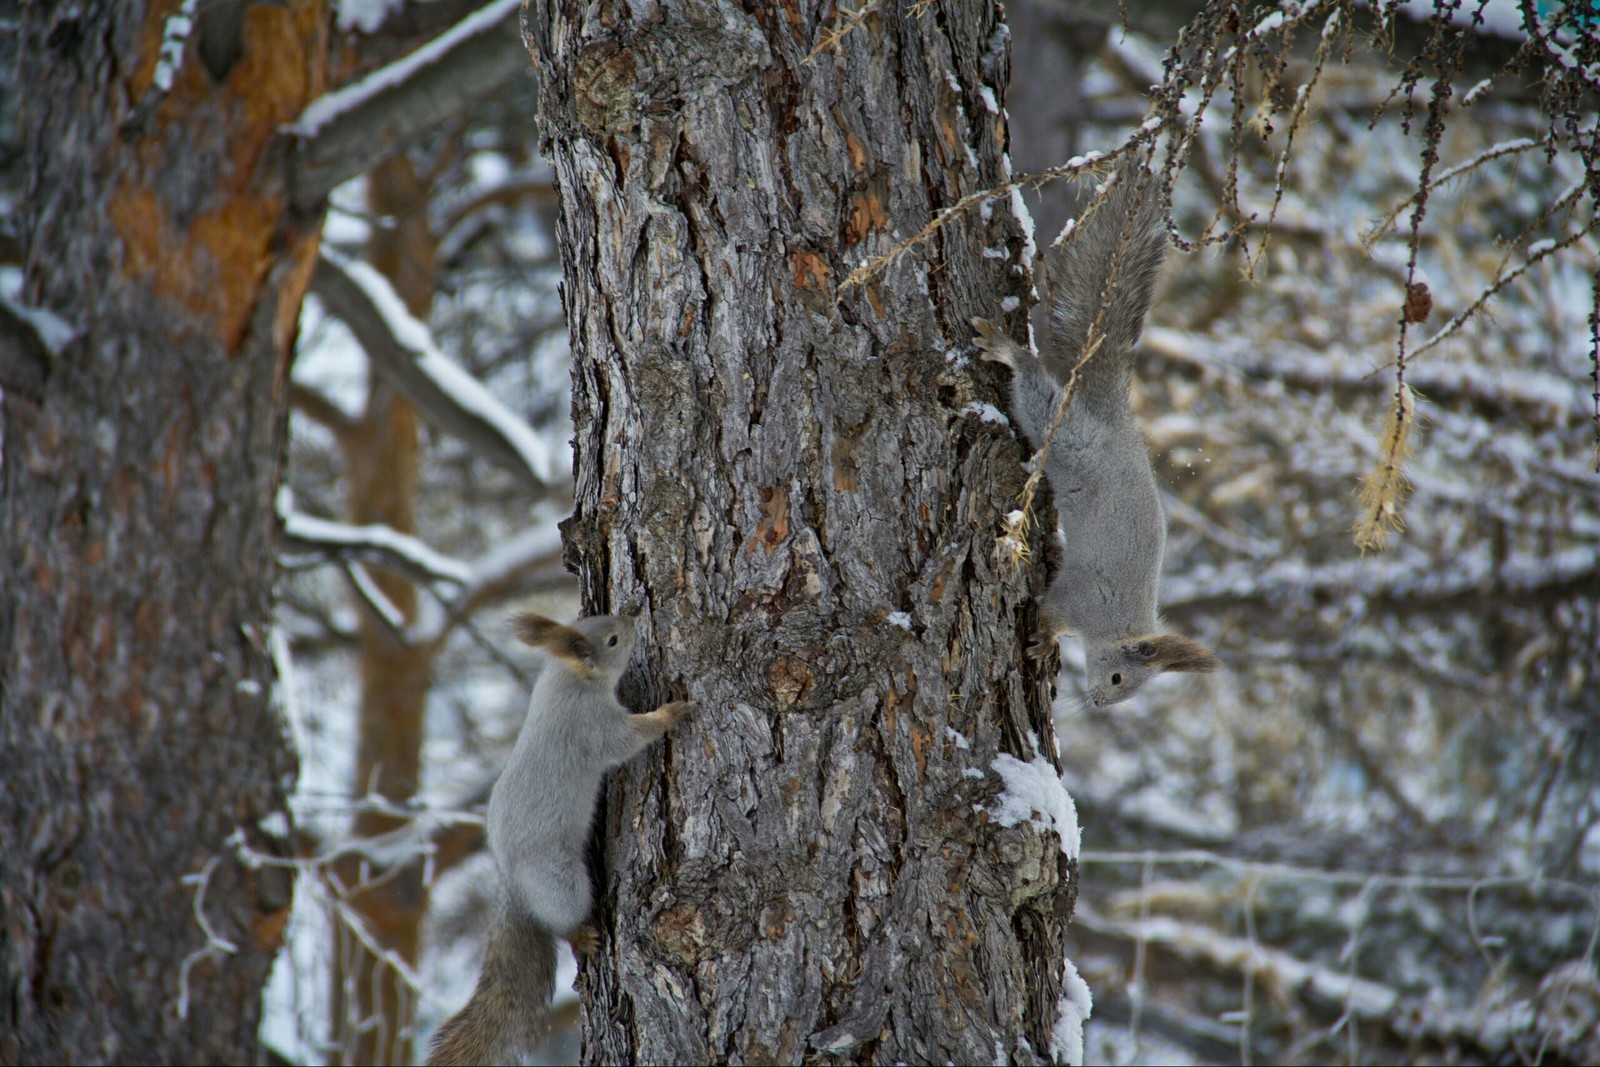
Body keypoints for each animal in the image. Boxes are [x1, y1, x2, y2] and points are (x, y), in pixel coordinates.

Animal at [425, 614, 694, 1062]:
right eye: (613, 639)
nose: (633, 616)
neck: (567, 679)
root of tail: (513, 885)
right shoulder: (592, 726)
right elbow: (626, 740)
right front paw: (671, 713)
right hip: (561, 878)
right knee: (562, 920)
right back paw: (580, 935)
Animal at [966, 158, 1216, 710]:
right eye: (1121, 679)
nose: (1100, 702)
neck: (1117, 624)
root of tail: (1114, 418)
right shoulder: (1083, 598)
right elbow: (1052, 612)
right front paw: (1044, 641)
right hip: (1068, 440)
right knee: (1035, 394)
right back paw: (1010, 353)